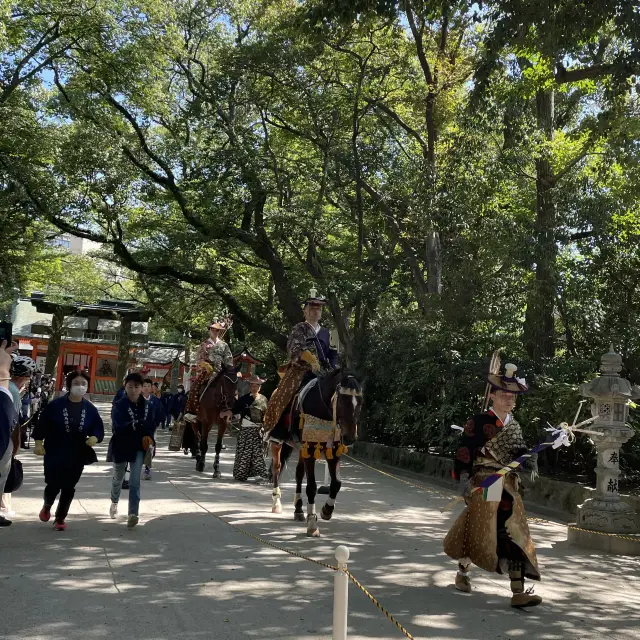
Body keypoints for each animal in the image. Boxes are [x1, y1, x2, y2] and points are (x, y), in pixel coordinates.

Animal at [268, 368, 360, 536]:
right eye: (342, 401)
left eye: (360, 402)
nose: (350, 437)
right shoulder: (310, 449)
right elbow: (311, 487)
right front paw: (312, 523)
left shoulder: (332, 450)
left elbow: (336, 483)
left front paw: (327, 510)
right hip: (277, 441)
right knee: (276, 468)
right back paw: (276, 504)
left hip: (300, 448)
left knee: (299, 474)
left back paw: (298, 510)